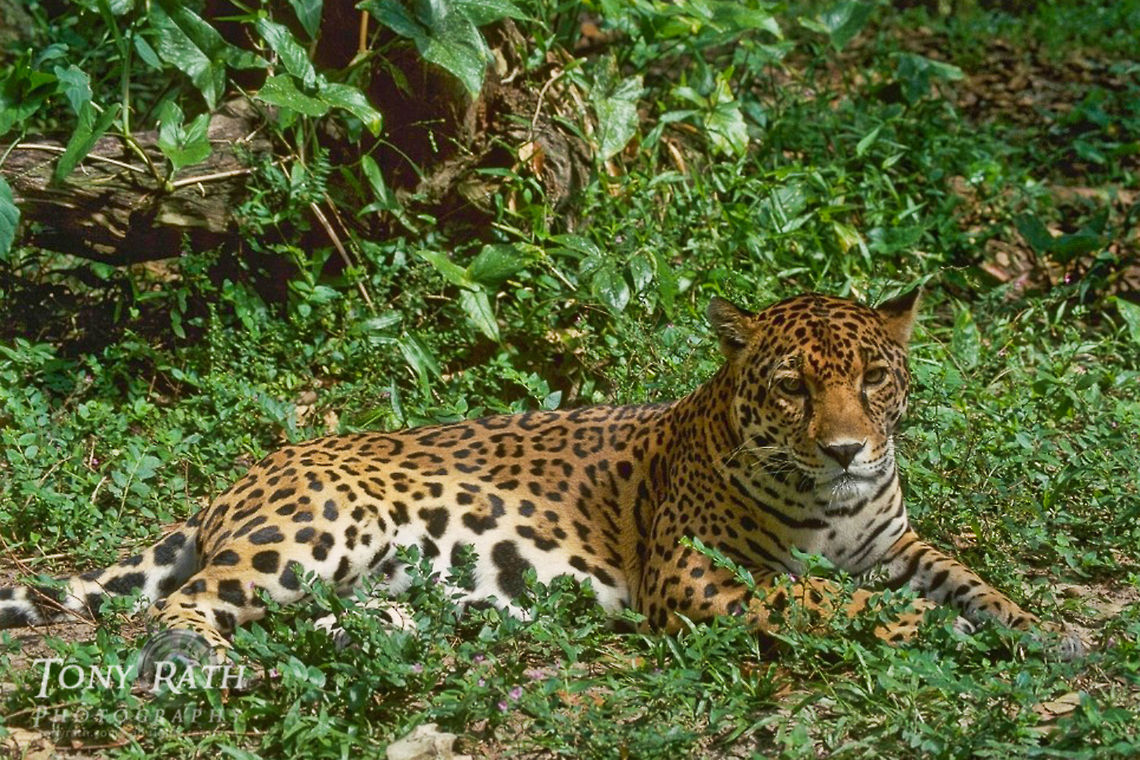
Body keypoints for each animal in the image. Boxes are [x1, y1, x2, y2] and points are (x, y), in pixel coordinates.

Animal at [0, 290, 1071, 658]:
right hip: (319, 528)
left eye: (873, 379)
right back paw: (190, 659)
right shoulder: (695, 576)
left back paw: (389, 635)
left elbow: (968, 579)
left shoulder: (895, 544)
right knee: (190, 603)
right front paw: (922, 629)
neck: (832, 504)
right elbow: (819, 600)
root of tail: (239, 479)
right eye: (792, 387)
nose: (849, 448)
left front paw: (1045, 633)